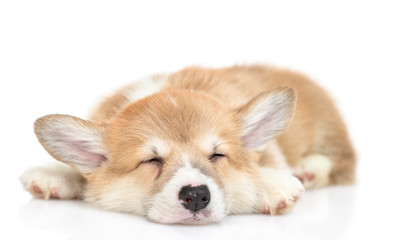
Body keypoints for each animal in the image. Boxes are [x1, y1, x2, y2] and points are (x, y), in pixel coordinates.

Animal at [19, 65, 356, 223]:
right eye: (152, 161)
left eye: (217, 155)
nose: (196, 196)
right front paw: (54, 174)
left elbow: (264, 164)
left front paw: (271, 184)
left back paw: (308, 171)